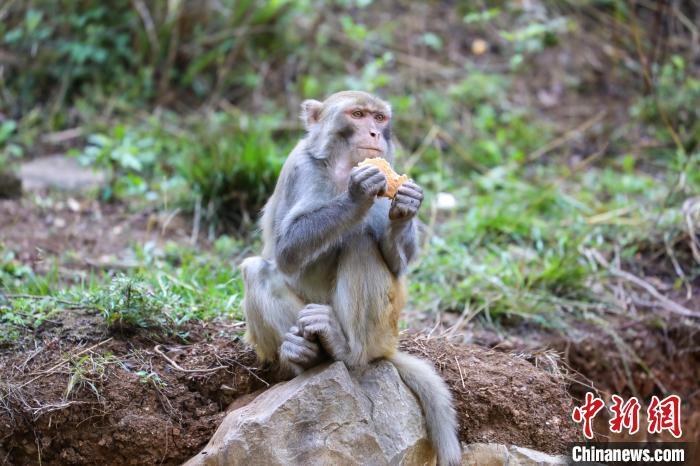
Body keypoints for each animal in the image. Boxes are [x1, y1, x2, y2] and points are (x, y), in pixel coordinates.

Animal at [243, 91, 462, 466]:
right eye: (358, 115)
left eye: (379, 118)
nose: (374, 133)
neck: (340, 167)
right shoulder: (299, 167)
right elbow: (285, 251)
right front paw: (357, 194)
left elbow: (396, 263)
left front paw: (406, 204)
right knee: (259, 270)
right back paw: (307, 355)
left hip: (384, 331)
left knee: (361, 245)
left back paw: (346, 351)